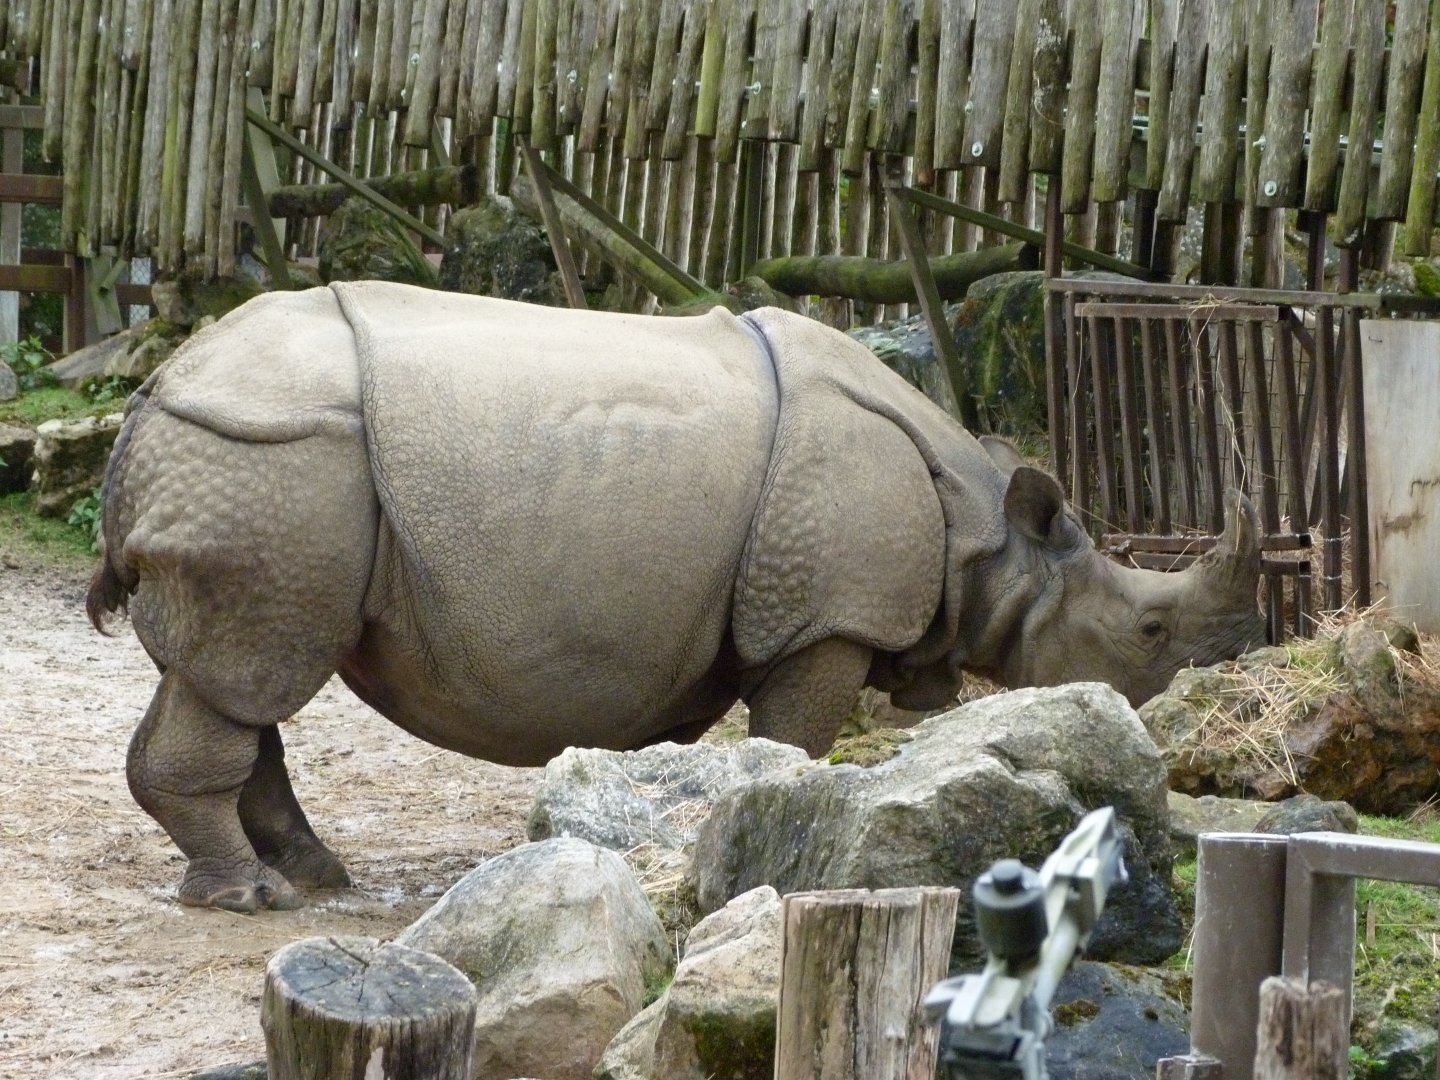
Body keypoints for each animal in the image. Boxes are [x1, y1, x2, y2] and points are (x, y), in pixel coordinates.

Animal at [89, 282, 1264, 912]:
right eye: (1149, 626)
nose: (1182, 697)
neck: (989, 535)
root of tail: (153, 395)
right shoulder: (823, 619)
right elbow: (794, 738)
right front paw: (782, 830)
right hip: (274, 463)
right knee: (253, 668)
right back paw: (255, 898)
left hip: (259, 475)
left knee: (234, 675)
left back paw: (312, 876)